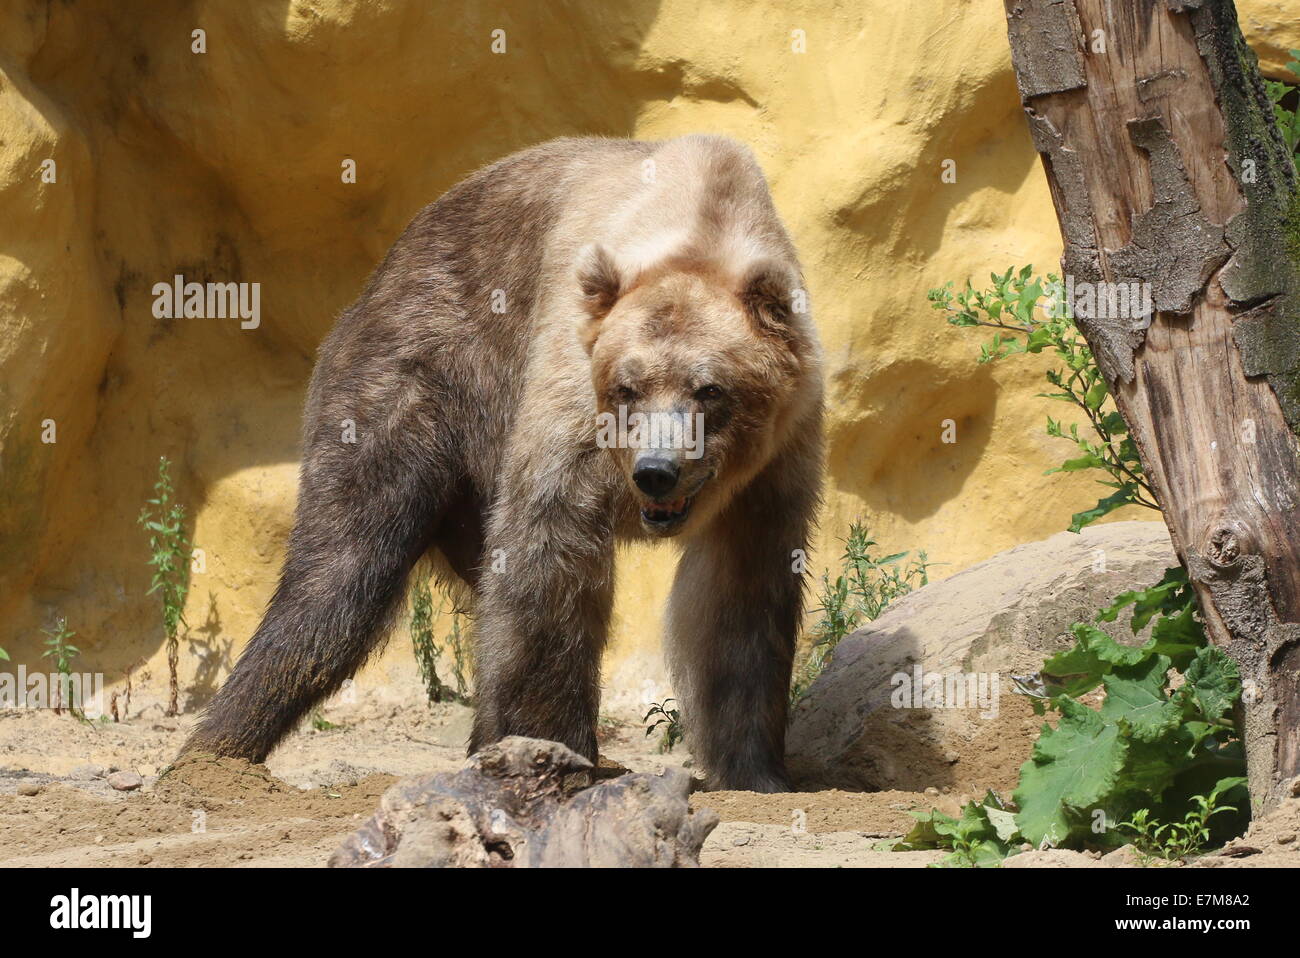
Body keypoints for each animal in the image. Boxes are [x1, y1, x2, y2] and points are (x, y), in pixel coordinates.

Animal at [183, 134, 821, 790]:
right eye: (627, 388)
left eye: (709, 389)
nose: (655, 471)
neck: (700, 218)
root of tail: (381, 271)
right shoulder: (567, 388)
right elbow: (549, 551)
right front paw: (552, 744)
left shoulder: (777, 462)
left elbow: (740, 600)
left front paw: (754, 767)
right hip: (412, 381)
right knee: (341, 568)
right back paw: (213, 751)